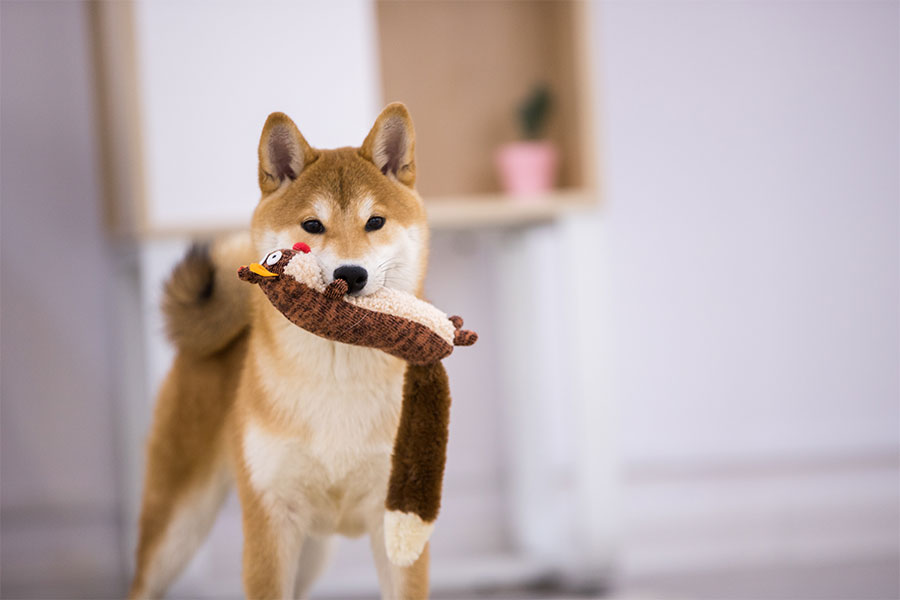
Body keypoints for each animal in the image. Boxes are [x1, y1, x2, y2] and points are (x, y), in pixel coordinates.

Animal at [129, 103, 432, 599]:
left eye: (375, 222)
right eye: (312, 225)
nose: (352, 274)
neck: (337, 378)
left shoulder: (397, 521)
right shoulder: (270, 521)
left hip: (310, 555)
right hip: (178, 530)